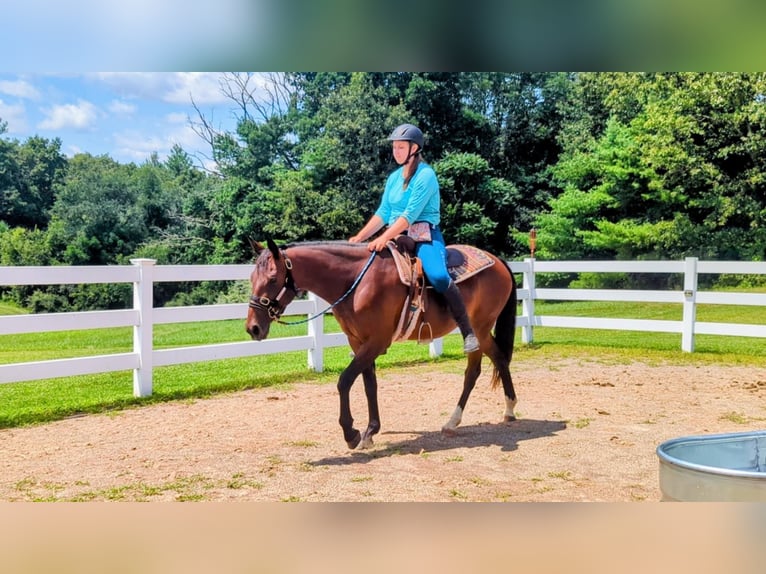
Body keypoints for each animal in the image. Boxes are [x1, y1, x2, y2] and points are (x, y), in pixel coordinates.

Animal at [249, 237, 520, 450]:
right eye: (252, 277)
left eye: (272, 278)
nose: (253, 328)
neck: (356, 281)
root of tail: (497, 261)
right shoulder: (358, 342)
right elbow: (369, 384)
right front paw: (370, 431)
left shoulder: (376, 341)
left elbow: (344, 380)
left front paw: (351, 433)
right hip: (483, 331)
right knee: (497, 358)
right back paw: (505, 410)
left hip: (478, 329)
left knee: (476, 369)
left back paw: (458, 419)